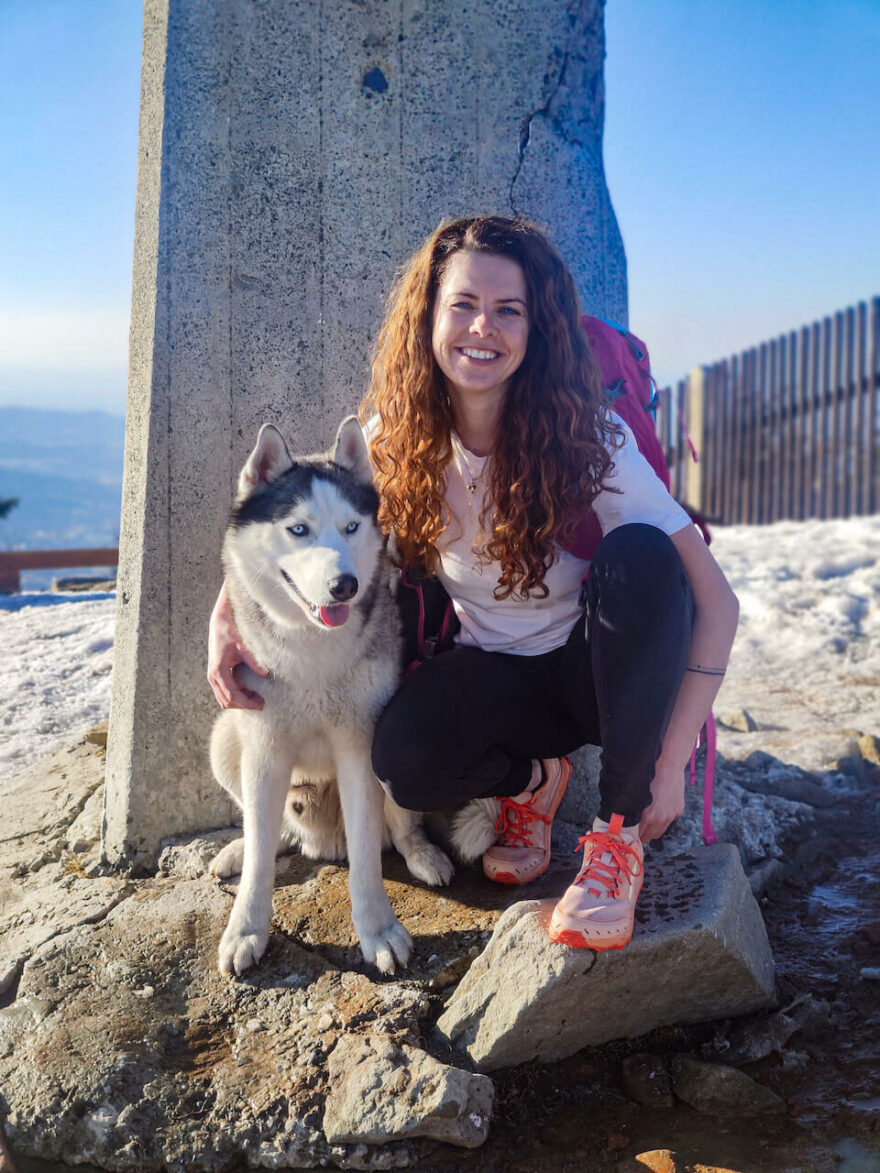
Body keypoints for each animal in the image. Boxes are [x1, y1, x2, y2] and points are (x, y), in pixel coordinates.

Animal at [208, 417, 450, 975]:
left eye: (351, 527)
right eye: (298, 529)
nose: (345, 585)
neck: (312, 649)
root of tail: (324, 840)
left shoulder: (359, 748)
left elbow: (366, 861)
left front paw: (378, 931)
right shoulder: (265, 749)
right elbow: (260, 858)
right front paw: (245, 930)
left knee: (399, 827)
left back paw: (423, 854)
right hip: (226, 738)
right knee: (269, 829)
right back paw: (241, 849)